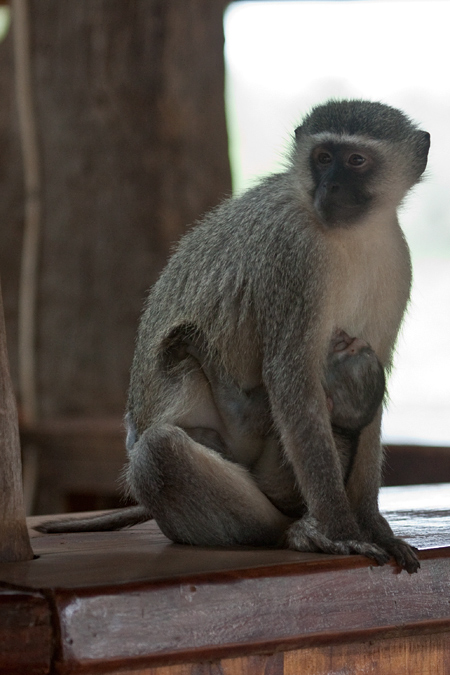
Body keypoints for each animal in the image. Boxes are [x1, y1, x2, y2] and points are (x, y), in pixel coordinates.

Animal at [38, 100, 428, 572]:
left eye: (355, 160)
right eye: (322, 158)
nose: (331, 186)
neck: (353, 235)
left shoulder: (397, 262)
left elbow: (373, 381)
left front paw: (373, 525)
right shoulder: (295, 257)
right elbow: (291, 380)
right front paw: (341, 530)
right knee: (159, 454)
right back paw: (292, 532)